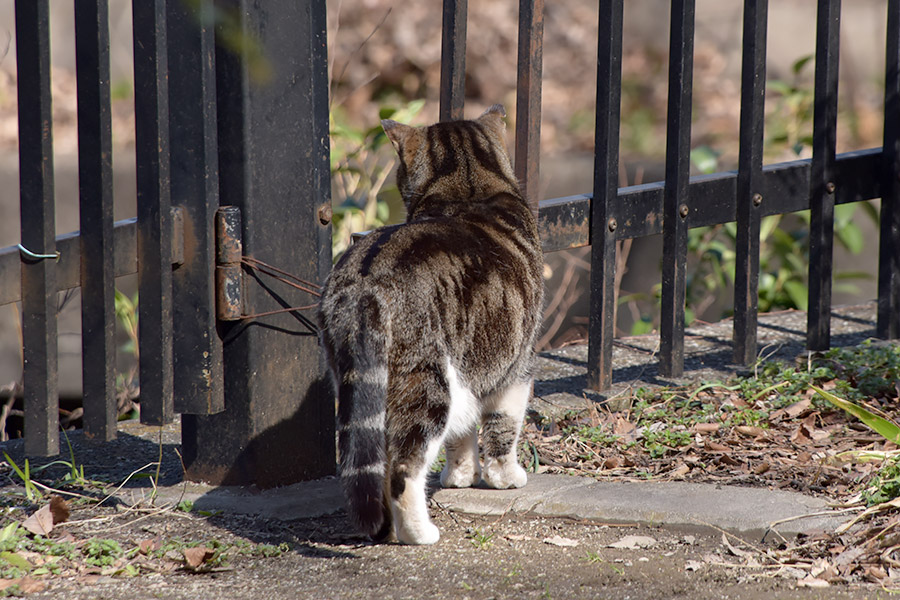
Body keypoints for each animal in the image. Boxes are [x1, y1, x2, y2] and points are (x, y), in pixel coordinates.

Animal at [318, 103, 540, 544]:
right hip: (428, 383)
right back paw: (418, 533)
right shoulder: (517, 367)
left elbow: (463, 434)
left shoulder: (469, 371)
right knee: (404, 469)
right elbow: (503, 427)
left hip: (370, 386)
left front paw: (460, 476)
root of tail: (364, 285)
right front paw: (504, 477)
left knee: (380, 463)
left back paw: (388, 529)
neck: (467, 188)